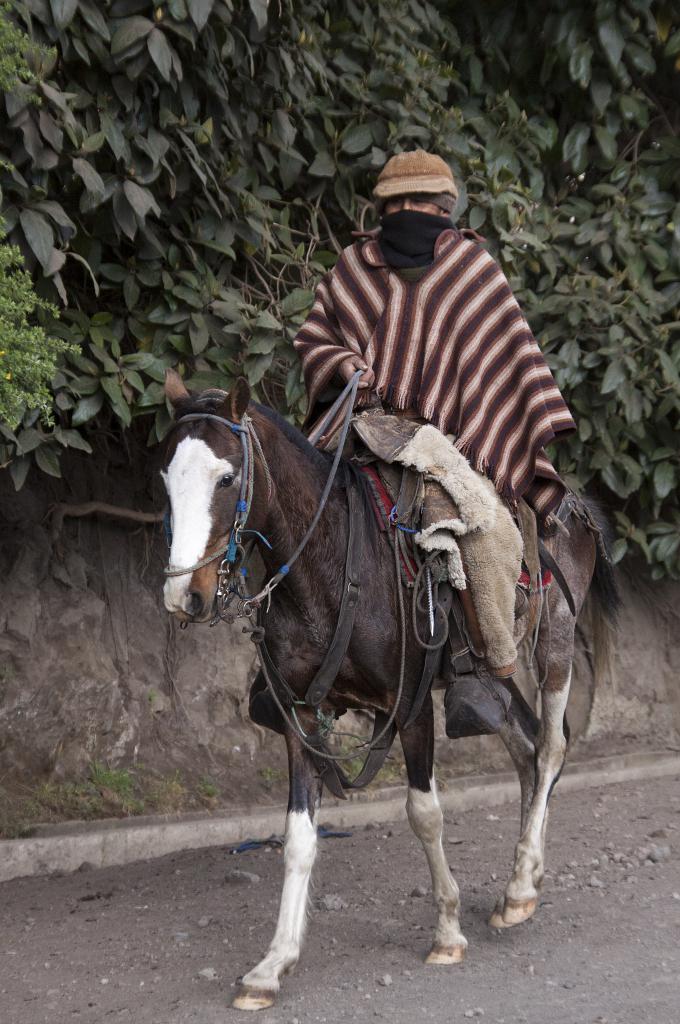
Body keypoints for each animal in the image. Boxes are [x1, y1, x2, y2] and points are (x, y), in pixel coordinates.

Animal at [160, 370, 622, 1007]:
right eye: (166, 478)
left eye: (227, 478)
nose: (185, 596)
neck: (332, 565)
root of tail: (571, 502)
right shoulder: (301, 714)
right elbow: (298, 837)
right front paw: (273, 964)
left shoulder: (411, 706)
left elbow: (424, 813)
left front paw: (447, 931)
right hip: (495, 681)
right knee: (527, 750)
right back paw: (520, 883)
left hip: (552, 640)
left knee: (551, 746)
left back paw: (522, 885)